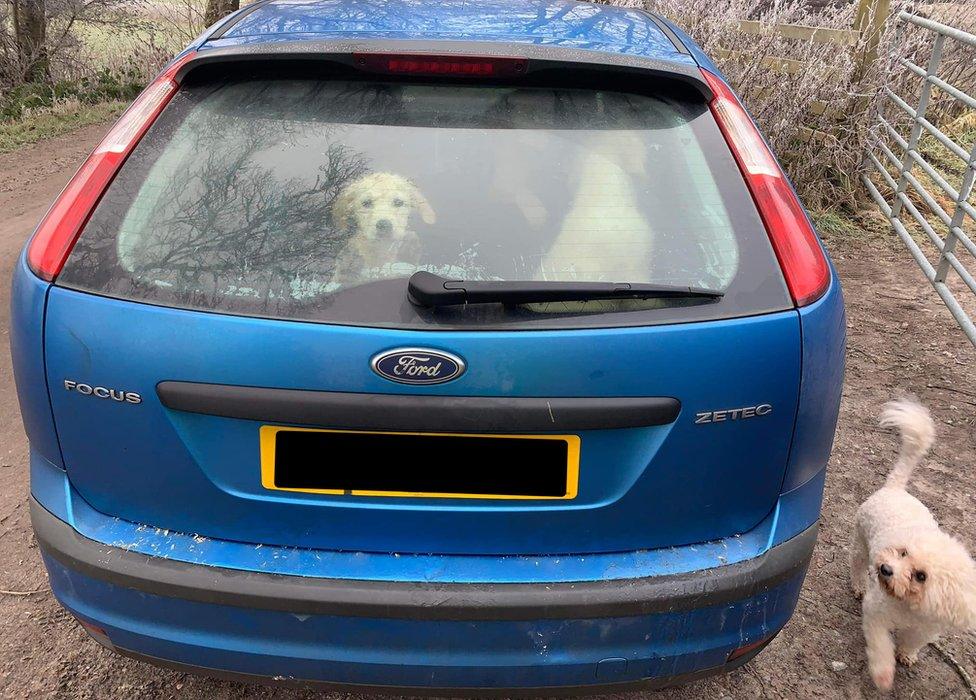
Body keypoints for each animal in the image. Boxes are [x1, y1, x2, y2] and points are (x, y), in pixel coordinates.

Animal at [848, 396, 976, 692]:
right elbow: (881, 646)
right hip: (861, 542)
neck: (909, 606)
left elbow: (913, 641)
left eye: (921, 576)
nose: (885, 569)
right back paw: (858, 584)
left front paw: (907, 654)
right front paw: (883, 675)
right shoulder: (877, 614)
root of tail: (896, 487)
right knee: (857, 565)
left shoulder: (927, 628)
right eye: (903, 552)